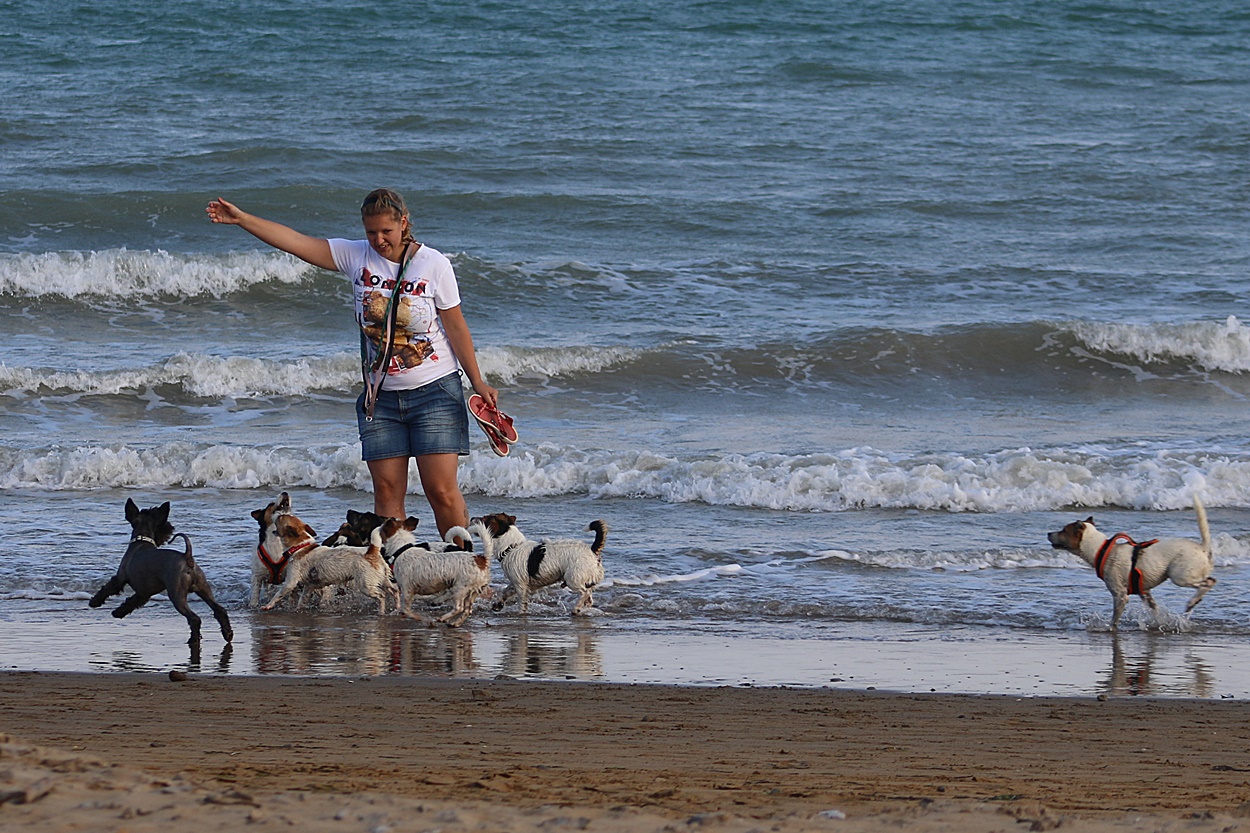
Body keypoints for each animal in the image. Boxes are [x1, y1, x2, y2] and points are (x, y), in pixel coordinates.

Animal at [90, 500, 235, 640]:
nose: (169, 530)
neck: (141, 541)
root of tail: (187, 557)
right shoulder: (143, 593)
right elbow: (131, 602)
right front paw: (118, 612)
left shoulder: (121, 578)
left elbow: (107, 588)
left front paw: (94, 602)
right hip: (204, 588)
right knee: (219, 610)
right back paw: (227, 634)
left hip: (177, 596)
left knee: (194, 618)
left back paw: (193, 641)